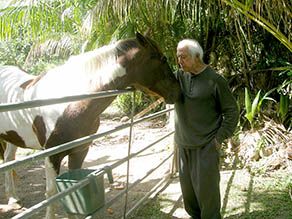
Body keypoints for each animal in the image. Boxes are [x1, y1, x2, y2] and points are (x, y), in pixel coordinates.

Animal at [0, 31, 181, 218]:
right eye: (162, 58)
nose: (178, 92)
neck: (70, 103)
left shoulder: (79, 151)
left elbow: (73, 191)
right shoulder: (52, 155)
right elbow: (52, 193)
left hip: (13, 136)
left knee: (8, 158)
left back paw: (13, 198)